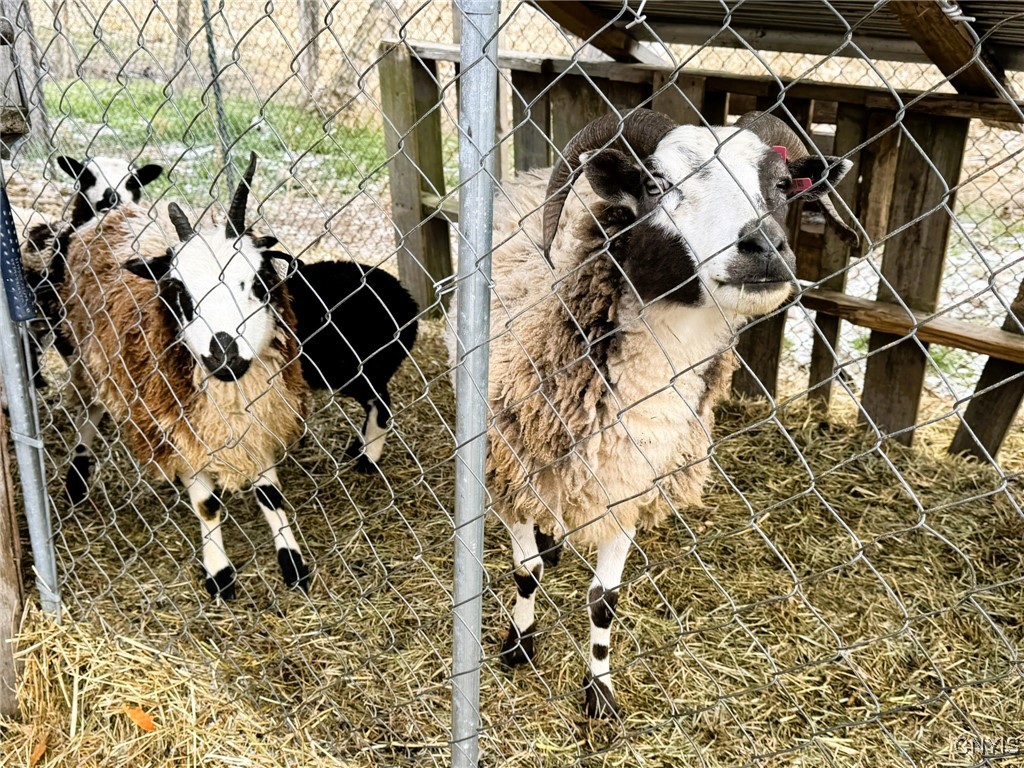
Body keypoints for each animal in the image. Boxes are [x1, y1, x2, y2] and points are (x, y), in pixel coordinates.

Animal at [57, 153, 310, 598]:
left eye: (259, 281)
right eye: (180, 293)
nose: (224, 355)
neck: (231, 394)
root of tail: (113, 211)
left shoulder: (260, 418)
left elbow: (271, 495)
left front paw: (292, 561)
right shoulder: (179, 428)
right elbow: (207, 506)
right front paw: (219, 573)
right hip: (86, 356)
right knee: (89, 411)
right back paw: (78, 475)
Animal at [448, 109, 853, 717]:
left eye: (782, 185)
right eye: (658, 183)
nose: (765, 246)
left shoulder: (630, 487)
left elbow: (604, 600)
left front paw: (599, 690)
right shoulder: (510, 465)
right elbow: (527, 571)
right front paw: (519, 643)